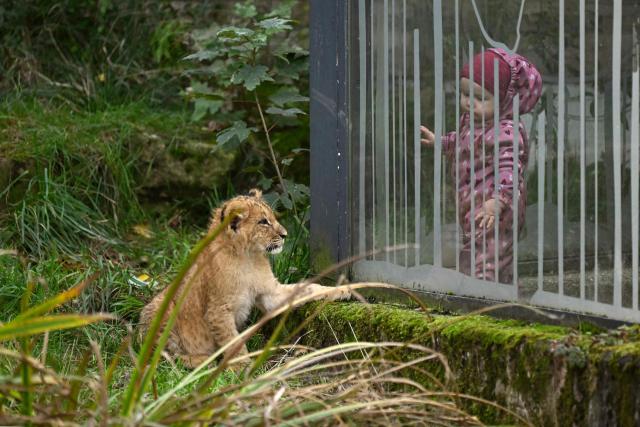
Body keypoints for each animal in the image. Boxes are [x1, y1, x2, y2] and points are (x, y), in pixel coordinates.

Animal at [138, 188, 350, 368]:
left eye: (272, 217)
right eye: (263, 222)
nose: (285, 235)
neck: (248, 257)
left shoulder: (271, 295)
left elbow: (308, 288)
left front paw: (343, 290)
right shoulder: (218, 311)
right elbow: (233, 342)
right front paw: (242, 368)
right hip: (161, 309)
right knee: (162, 358)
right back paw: (203, 361)